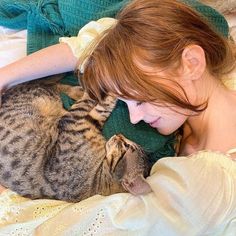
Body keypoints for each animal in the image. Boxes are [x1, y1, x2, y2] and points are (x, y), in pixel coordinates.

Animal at [0, 80, 151, 201]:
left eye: (126, 145)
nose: (119, 135)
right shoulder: (80, 121)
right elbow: (101, 108)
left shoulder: (74, 121)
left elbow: (99, 107)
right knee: (50, 85)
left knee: (53, 88)